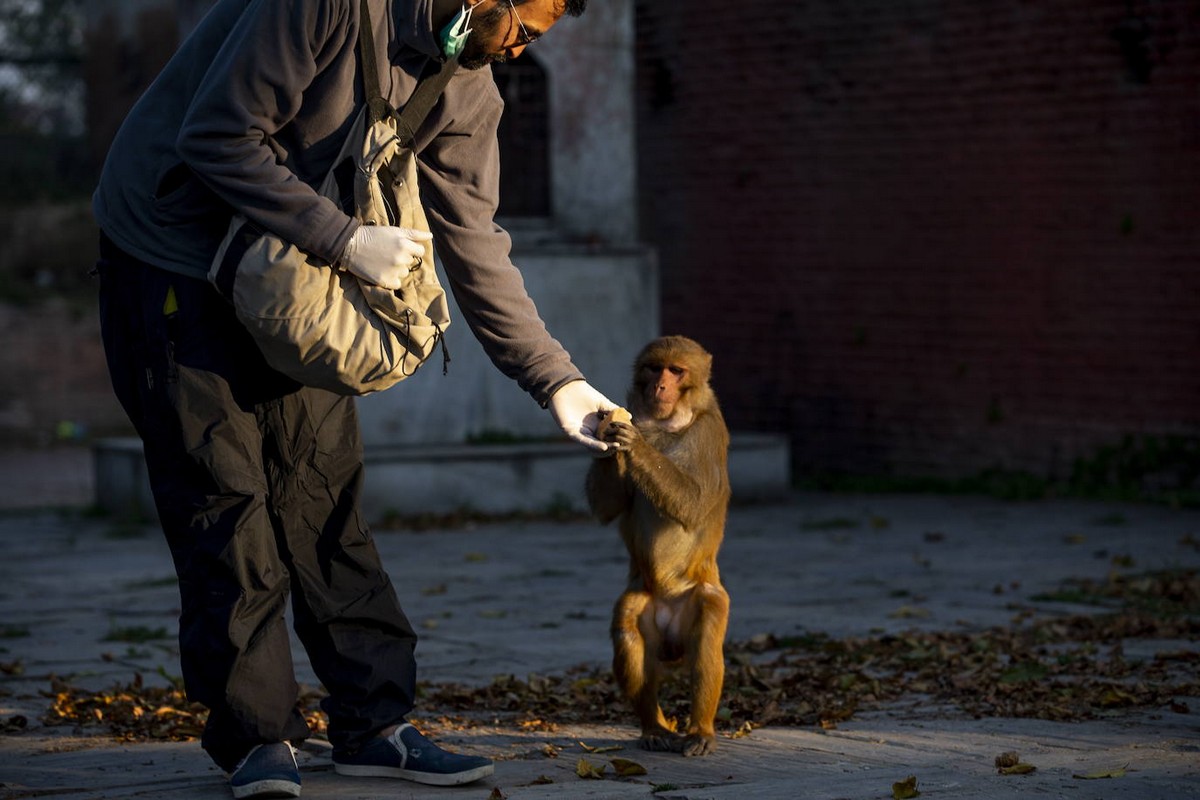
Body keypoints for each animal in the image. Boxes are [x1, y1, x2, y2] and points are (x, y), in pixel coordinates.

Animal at [583, 335, 729, 758]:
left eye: (676, 371)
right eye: (654, 368)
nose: (660, 385)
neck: (667, 423)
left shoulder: (708, 434)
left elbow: (693, 503)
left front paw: (635, 445)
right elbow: (608, 508)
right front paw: (609, 437)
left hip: (700, 599)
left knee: (706, 647)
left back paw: (700, 730)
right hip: (645, 602)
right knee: (628, 630)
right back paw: (654, 726)